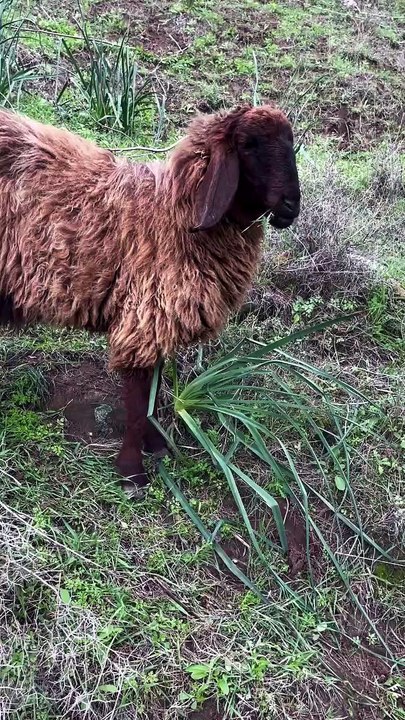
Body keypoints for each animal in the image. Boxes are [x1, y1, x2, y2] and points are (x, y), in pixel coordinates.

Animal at [0, 103, 300, 491]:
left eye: (291, 141)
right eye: (248, 145)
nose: (291, 205)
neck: (172, 215)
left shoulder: (157, 319)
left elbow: (153, 393)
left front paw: (156, 445)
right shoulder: (143, 317)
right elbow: (139, 396)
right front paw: (132, 472)